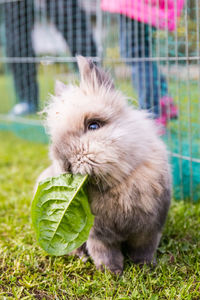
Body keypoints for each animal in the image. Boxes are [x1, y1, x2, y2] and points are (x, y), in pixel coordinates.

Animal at [38, 56, 171, 274]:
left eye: (93, 125)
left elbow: (144, 249)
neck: (115, 185)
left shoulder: (149, 229)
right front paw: (112, 273)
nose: (64, 163)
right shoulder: (98, 236)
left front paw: (145, 268)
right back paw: (82, 258)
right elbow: (105, 253)